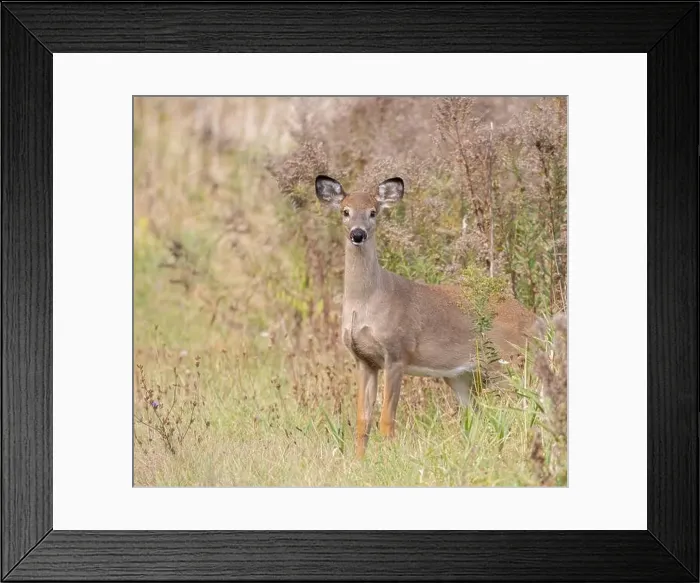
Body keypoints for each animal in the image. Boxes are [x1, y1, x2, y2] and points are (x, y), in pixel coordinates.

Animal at [315, 174, 537, 458]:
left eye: (373, 212)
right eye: (345, 211)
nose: (358, 234)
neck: (365, 304)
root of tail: (535, 320)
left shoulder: (397, 353)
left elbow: (387, 419)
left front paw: (390, 460)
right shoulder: (364, 360)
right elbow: (363, 420)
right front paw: (358, 462)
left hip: (509, 361)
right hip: (461, 377)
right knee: (479, 416)